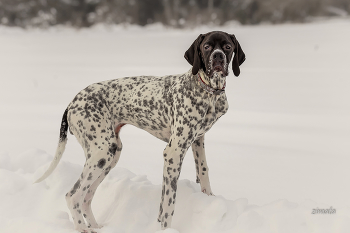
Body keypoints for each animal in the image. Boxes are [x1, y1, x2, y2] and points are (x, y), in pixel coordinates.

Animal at [34, 30, 245, 231]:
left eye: (227, 47)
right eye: (207, 46)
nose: (218, 57)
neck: (208, 93)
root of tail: (72, 102)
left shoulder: (197, 141)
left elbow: (203, 173)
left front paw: (209, 198)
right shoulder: (173, 152)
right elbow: (169, 204)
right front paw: (165, 229)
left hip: (111, 155)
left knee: (86, 197)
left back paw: (96, 227)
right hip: (101, 153)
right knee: (73, 195)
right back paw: (82, 228)